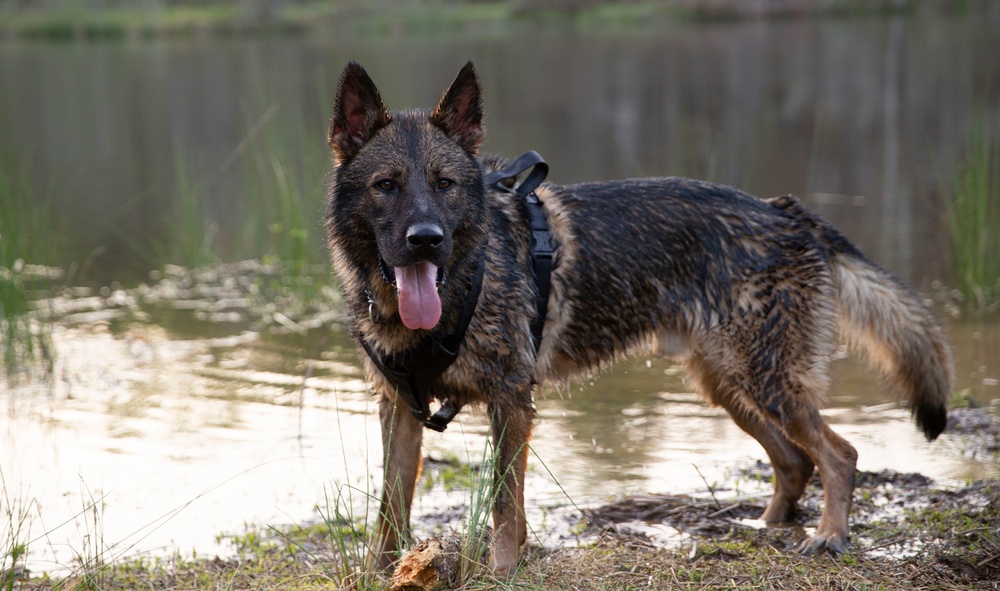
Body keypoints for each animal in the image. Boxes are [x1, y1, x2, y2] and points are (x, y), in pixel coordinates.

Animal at [324, 61, 956, 572]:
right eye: (386, 186)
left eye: (445, 184)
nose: (425, 241)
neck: (453, 295)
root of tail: (786, 212)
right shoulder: (399, 408)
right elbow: (390, 507)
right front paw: (381, 573)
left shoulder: (512, 402)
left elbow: (504, 504)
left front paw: (504, 571)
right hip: (728, 386)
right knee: (796, 461)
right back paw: (766, 526)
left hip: (768, 382)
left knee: (839, 456)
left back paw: (828, 537)